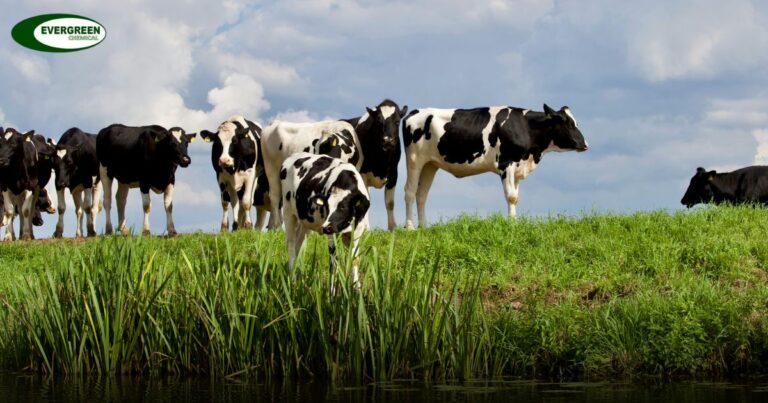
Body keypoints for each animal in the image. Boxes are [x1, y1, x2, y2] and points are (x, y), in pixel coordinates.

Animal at [261, 99, 407, 230]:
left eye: (397, 122)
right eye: (378, 122)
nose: (388, 141)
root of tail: (275, 123)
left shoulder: (392, 174)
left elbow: (388, 203)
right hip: (271, 170)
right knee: (275, 197)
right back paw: (277, 227)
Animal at [281, 152, 370, 286]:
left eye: (343, 207)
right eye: (327, 207)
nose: (326, 228)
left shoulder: (356, 233)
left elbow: (354, 259)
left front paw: (355, 288)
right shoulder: (332, 235)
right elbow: (333, 261)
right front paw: (331, 290)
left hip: (305, 222)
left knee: (299, 244)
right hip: (288, 212)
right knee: (291, 244)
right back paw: (291, 278)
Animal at [402, 104, 588, 229]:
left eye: (576, 122)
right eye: (567, 123)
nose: (585, 144)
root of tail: (414, 112)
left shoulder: (518, 167)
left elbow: (516, 196)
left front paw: (515, 221)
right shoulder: (506, 163)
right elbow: (511, 196)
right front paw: (512, 224)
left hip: (429, 165)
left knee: (421, 194)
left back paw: (423, 227)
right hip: (414, 160)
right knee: (409, 192)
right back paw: (410, 228)